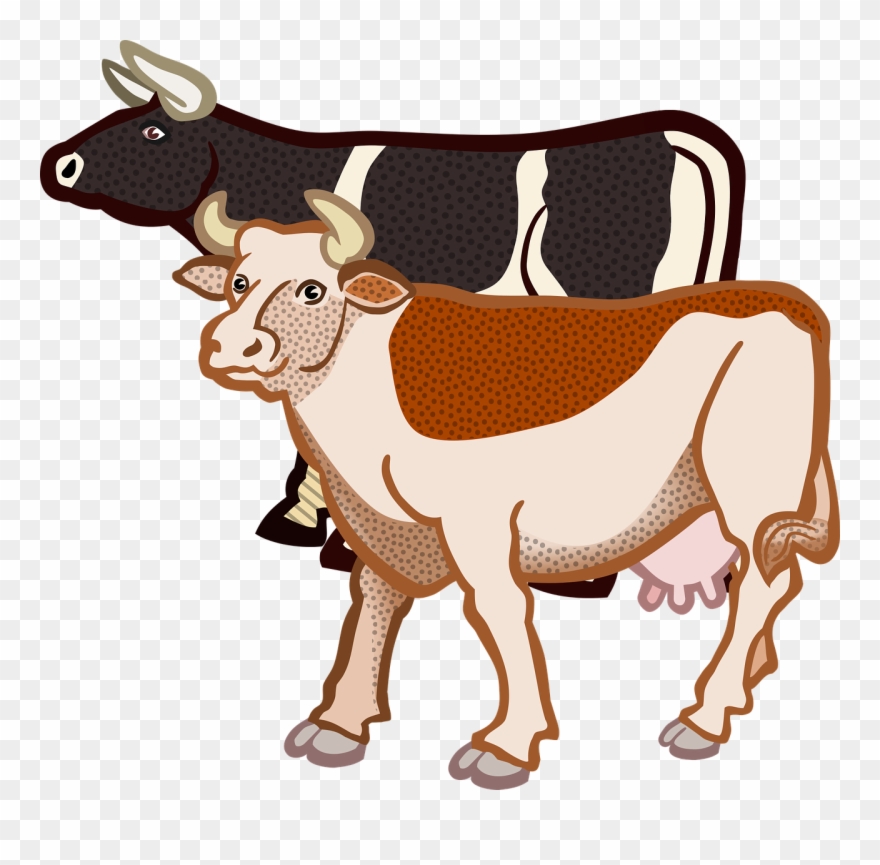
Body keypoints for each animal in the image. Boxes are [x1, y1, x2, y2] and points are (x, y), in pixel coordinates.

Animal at [171, 190, 838, 789]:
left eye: (313, 290)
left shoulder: (479, 520)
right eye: (238, 282)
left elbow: (498, 608)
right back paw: (745, 681)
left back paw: (705, 715)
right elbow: (373, 602)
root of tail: (788, 303)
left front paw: (507, 746)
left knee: (762, 580)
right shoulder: (385, 525)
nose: (229, 346)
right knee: (771, 574)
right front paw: (338, 724)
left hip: (751, 481)